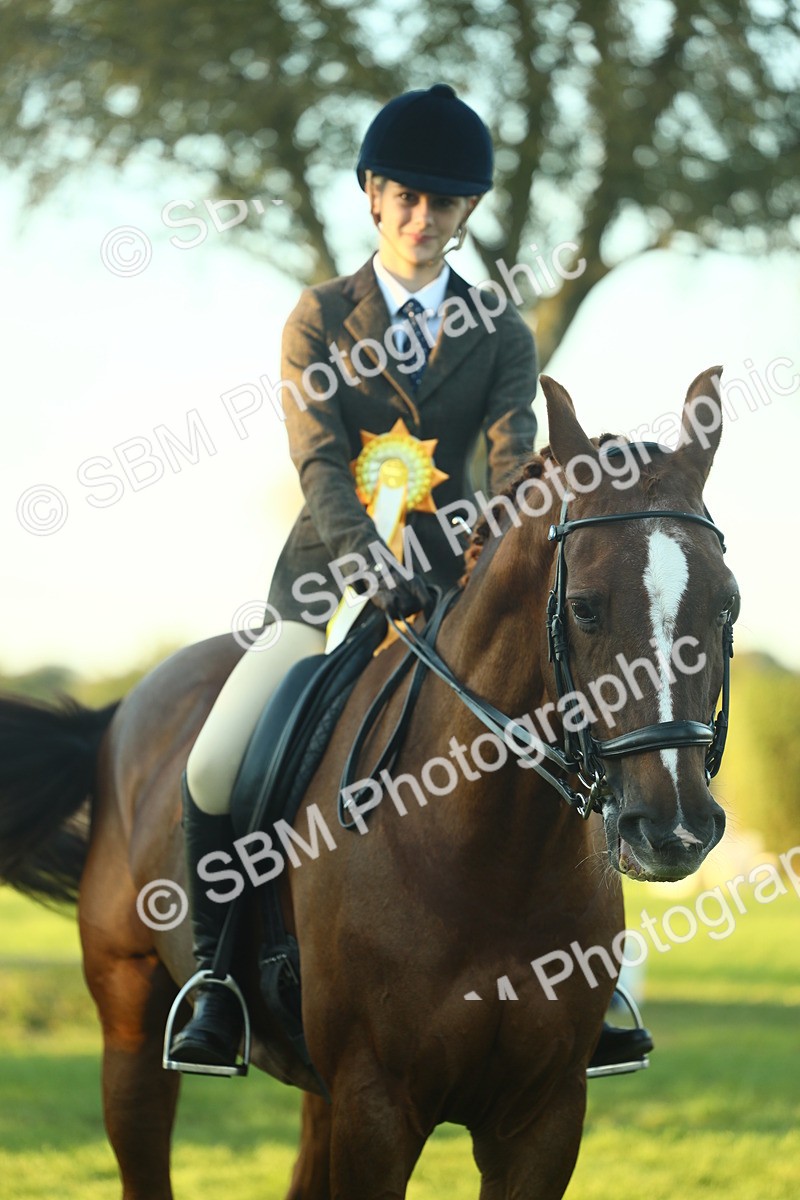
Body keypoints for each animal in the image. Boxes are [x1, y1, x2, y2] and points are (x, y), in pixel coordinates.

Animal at [0, 369, 738, 1199]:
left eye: (727, 603)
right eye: (584, 608)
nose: (673, 827)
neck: (493, 864)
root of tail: (123, 708)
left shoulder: (543, 1119)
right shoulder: (377, 1106)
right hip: (130, 1021)